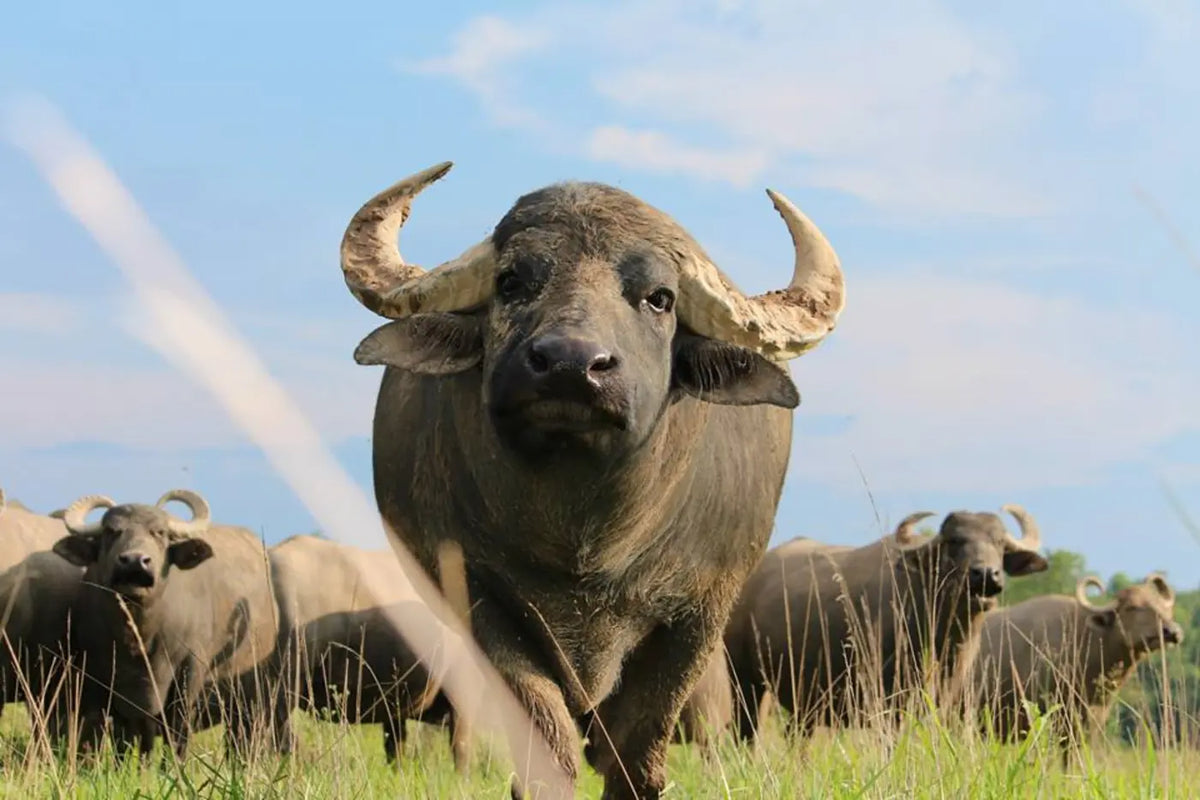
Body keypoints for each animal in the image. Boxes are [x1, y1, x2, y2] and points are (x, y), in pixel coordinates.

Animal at [51, 490, 280, 759]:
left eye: (159, 532)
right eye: (111, 531)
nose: (135, 561)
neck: (140, 636)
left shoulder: (188, 673)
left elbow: (177, 732)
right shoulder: (107, 682)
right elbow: (126, 739)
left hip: (252, 695)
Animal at [339, 162, 845, 799]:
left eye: (659, 298)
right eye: (511, 282)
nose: (569, 364)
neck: (585, 539)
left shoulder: (700, 613)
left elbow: (637, 752)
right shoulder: (478, 598)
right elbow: (545, 742)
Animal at [725, 506, 1048, 741]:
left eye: (1000, 543)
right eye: (954, 542)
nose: (985, 574)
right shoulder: (887, 704)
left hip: (804, 703)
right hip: (744, 682)